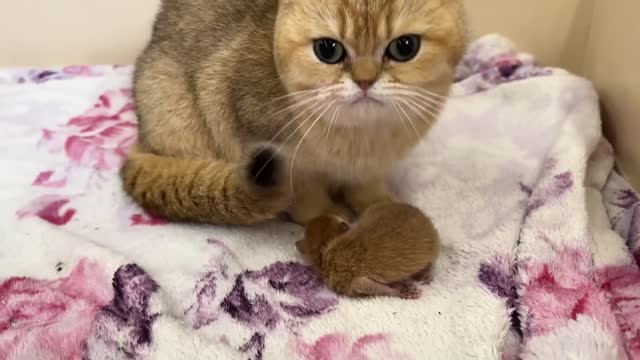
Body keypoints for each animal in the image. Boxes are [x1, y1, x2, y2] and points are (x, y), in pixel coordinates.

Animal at [122, 0, 468, 225]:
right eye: (327, 50)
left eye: (405, 47)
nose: (365, 81)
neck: (358, 137)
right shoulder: (268, 148)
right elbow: (304, 193)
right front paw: (325, 214)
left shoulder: (373, 164)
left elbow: (365, 185)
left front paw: (377, 204)